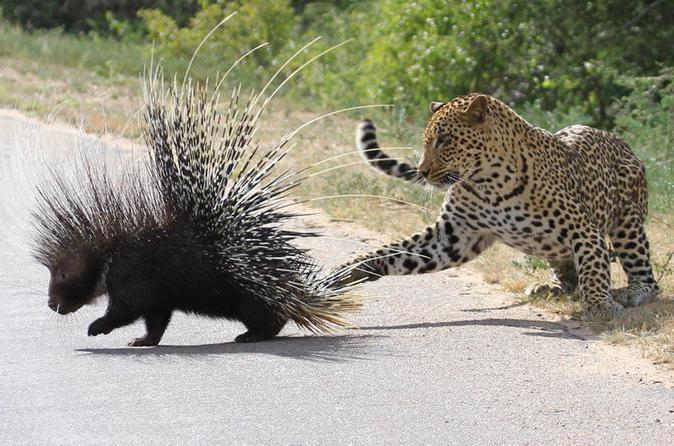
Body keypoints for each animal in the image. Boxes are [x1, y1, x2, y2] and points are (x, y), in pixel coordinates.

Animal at [342, 93, 656, 318]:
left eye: (444, 140)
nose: (422, 171)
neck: (488, 181)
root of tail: (622, 143)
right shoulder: (453, 235)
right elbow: (396, 252)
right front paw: (353, 268)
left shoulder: (583, 229)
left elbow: (594, 267)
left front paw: (600, 304)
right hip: (557, 250)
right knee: (569, 274)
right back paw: (550, 287)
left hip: (628, 221)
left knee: (647, 277)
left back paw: (633, 291)